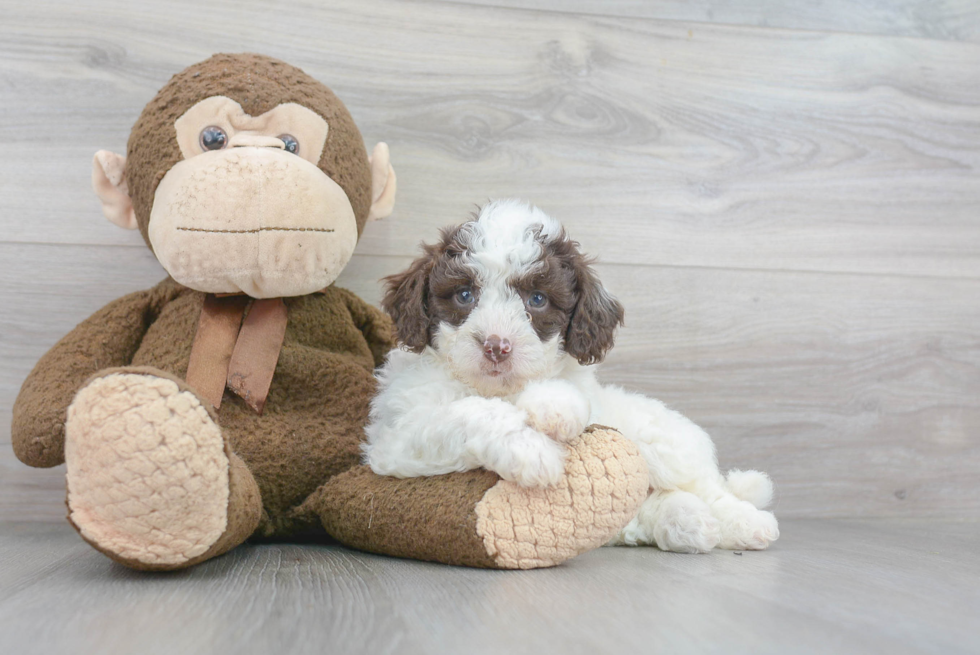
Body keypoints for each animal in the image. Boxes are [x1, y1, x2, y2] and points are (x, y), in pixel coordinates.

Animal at [362, 200, 780, 552]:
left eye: (537, 300)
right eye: (464, 295)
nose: (496, 347)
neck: (499, 389)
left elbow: (562, 396)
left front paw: (552, 409)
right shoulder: (394, 442)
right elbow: (469, 413)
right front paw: (531, 451)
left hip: (667, 448)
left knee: (709, 489)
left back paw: (748, 524)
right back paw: (690, 523)